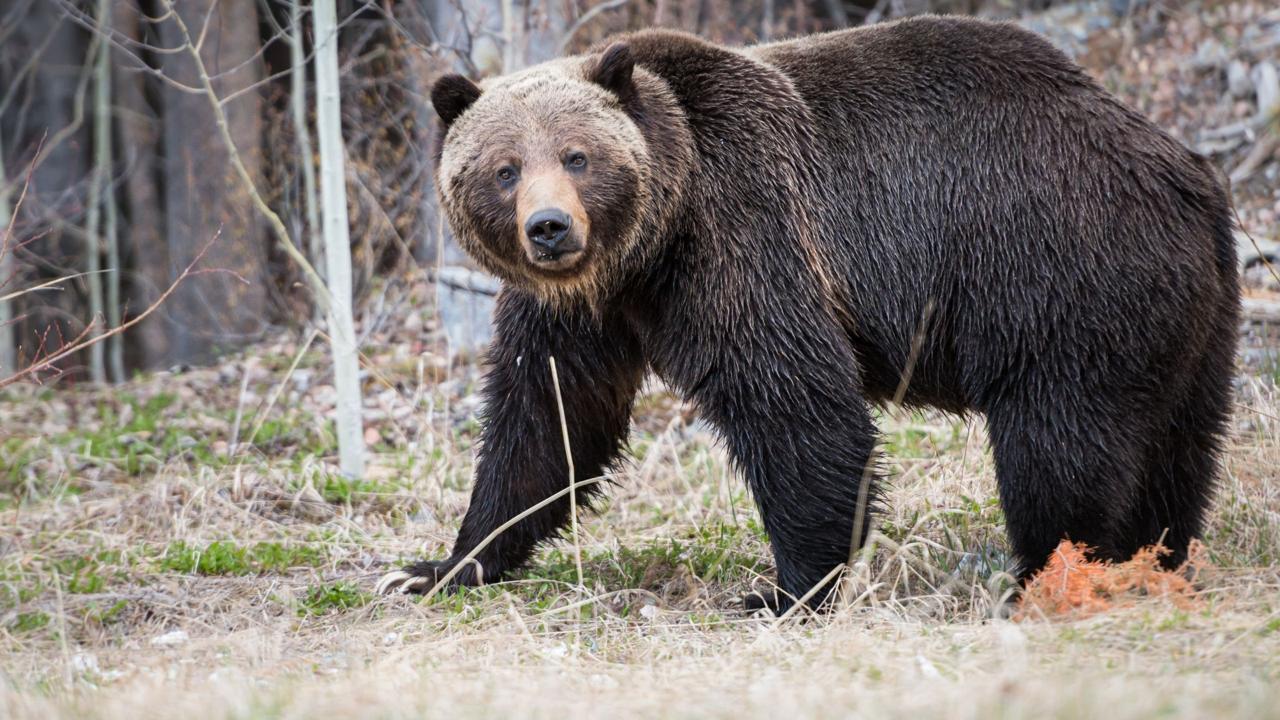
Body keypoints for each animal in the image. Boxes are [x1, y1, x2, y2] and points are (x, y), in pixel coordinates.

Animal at [376, 15, 1240, 612]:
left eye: (578, 156)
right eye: (503, 168)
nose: (550, 228)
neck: (646, 251)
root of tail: (1186, 171)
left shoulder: (742, 234)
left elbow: (796, 407)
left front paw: (783, 590)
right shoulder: (581, 312)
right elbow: (546, 422)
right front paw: (436, 566)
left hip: (1057, 277)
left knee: (1056, 449)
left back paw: (1044, 576)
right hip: (1186, 319)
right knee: (1176, 448)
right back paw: (1158, 558)